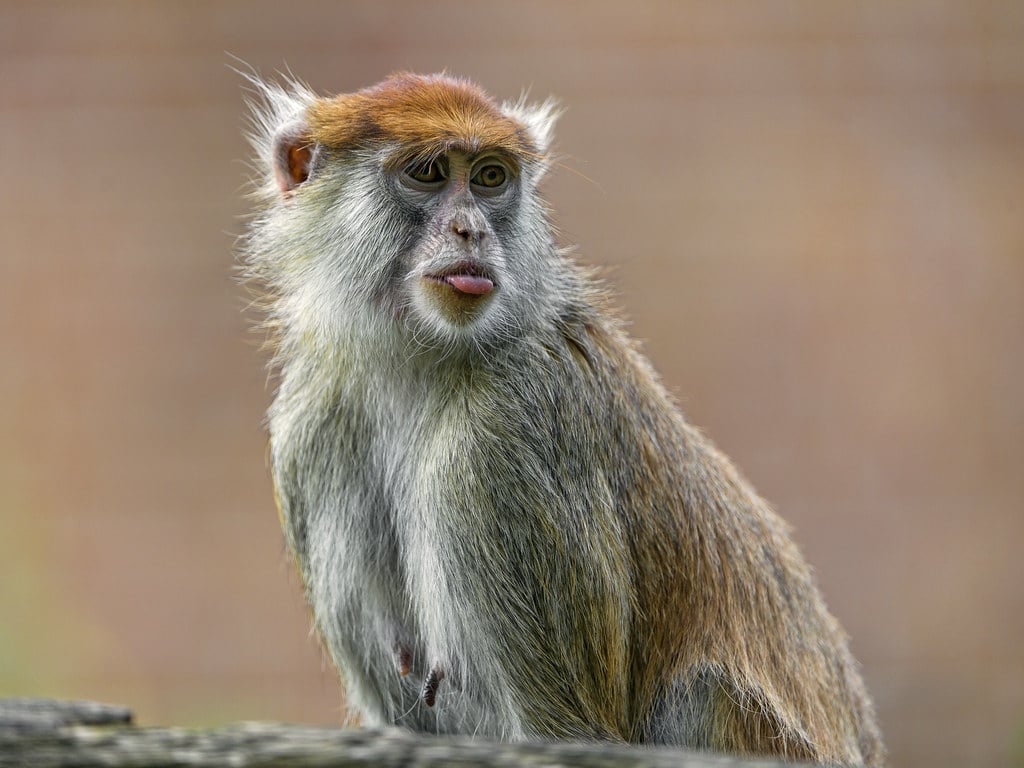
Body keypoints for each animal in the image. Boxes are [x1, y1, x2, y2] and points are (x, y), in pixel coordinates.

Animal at [241, 72, 885, 766]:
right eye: (429, 172)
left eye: (490, 177)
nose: (471, 231)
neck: (422, 365)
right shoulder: (312, 428)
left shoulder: (504, 435)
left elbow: (568, 730)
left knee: (701, 694)